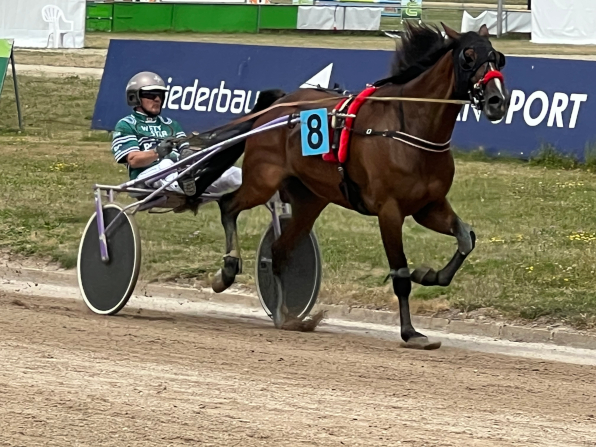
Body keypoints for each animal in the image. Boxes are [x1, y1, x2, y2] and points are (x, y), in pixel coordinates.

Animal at [200, 21, 508, 350]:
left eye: (498, 58)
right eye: (468, 57)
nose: (497, 101)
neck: (410, 127)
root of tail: (279, 105)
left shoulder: (429, 206)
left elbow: (466, 238)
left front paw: (428, 275)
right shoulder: (390, 211)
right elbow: (400, 274)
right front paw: (411, 332)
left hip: (310, 200)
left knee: (279, 251)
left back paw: (287, 316)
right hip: (262, 179)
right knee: (228, 205)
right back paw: (227, 272)